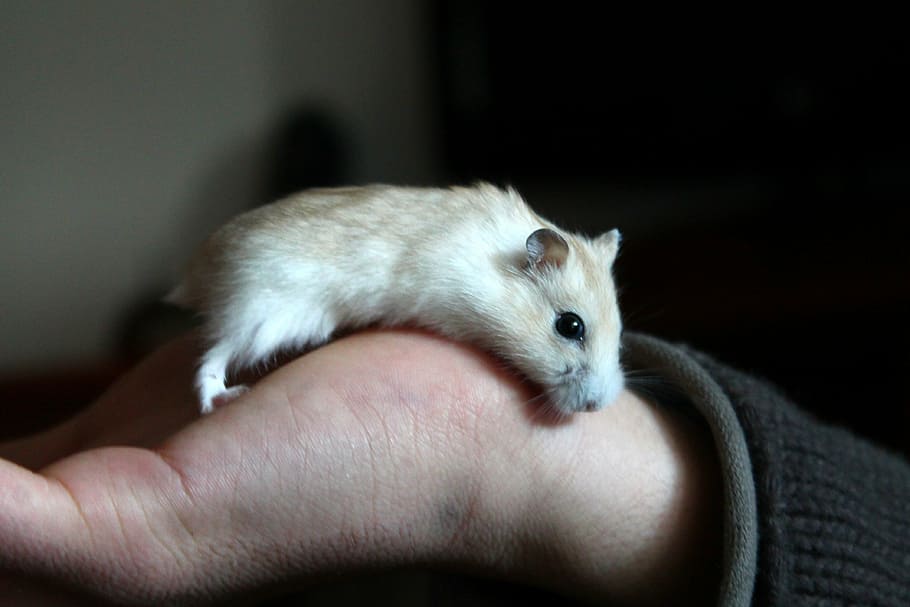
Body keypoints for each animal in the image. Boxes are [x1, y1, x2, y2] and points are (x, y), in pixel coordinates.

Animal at [167, 183, 624, 415]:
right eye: (570, 326)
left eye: (619, 335)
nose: (595, 407)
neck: (492, 265)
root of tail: (196, 272)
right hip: (262, 310)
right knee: (213, 356)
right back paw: (220, 398)